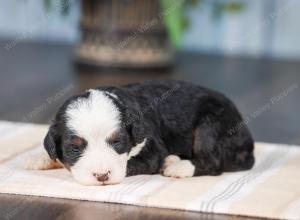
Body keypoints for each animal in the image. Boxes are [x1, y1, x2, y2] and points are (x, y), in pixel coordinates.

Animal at [24, 80, 254, 185]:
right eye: (75, 148)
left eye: (117, 142)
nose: (102, 176)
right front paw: (39, 159)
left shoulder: (152, 149)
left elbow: (131, 164)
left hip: (211, 123)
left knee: (213, 161)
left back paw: (177, 167)